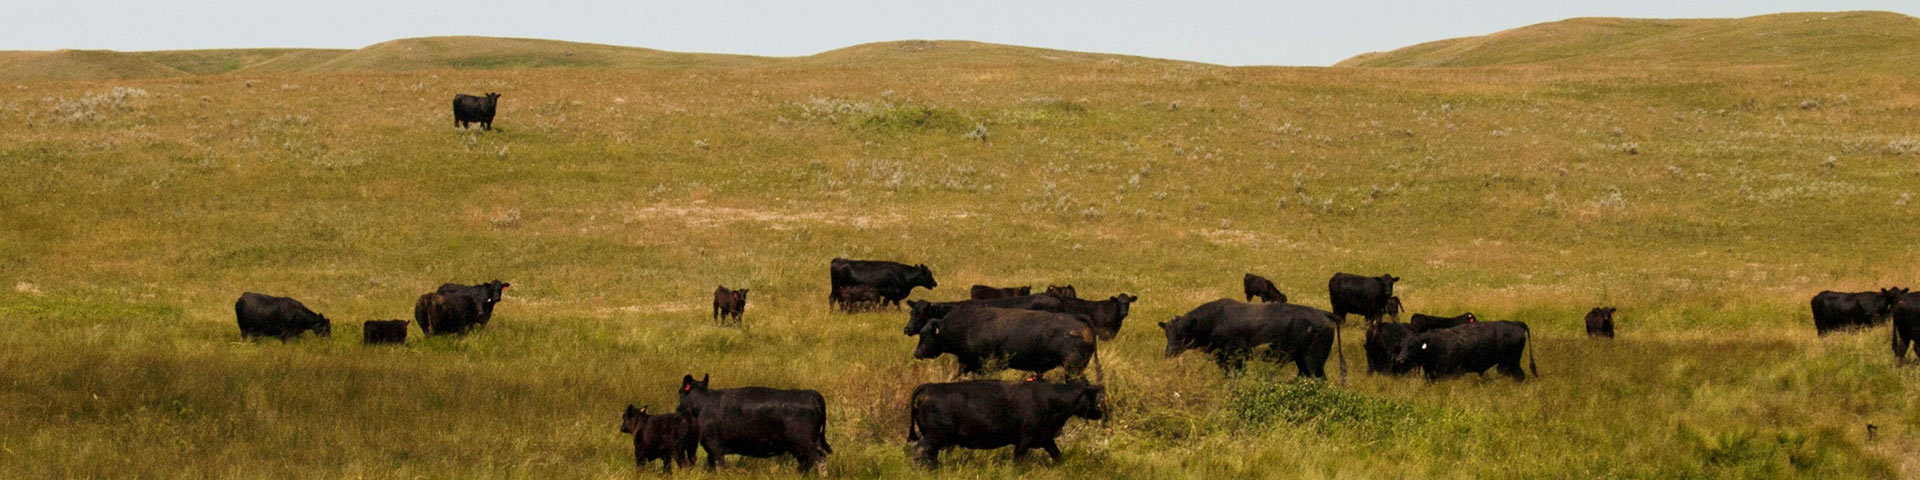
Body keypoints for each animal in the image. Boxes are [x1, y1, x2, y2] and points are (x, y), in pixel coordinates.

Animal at [906, 378, 1105, 468]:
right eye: (1093, 397)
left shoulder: (1045, 438)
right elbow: (1017, 461)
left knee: (929, 455)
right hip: (934, 436)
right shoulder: (1024, 440)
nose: (1100, 412)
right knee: (920, 451)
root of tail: (930, 386)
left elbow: (1057, 454)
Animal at [1152, 297, 1351, 380]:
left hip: (1313, 362)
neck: (1215, 319)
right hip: (1302, 362)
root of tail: (1325, 314)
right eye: (1167, 334)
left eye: (1182, 334)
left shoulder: (1234, 358)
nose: (1168, 353)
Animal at [1390, 320, 1536, 380]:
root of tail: (1516, 323)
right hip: (1506, 365)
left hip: (1512, 363)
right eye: (1401, 347)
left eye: (1412, 347)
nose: (1400, 359)